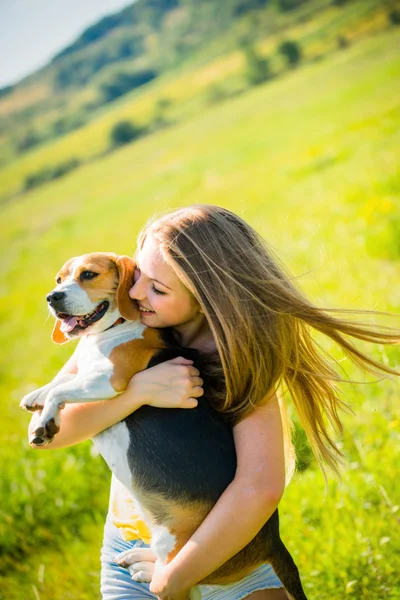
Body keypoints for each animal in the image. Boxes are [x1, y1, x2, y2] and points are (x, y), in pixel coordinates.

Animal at [20, 251, 308, 596]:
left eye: (88, 274)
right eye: (59, 280)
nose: (52, 298)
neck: (113, 329)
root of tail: (272, 542)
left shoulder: (108, 379)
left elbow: (62, 389)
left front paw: (46, 421)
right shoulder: (86, 373)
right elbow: (60, 382)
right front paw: (36, 397)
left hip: (180, 548)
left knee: (178, 573)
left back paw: (147, 569)